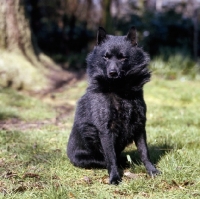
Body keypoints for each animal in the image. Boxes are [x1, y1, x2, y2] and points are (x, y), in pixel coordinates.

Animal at [67, 26, 159, 185]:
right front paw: (115, 178)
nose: (112, 73)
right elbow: (111, 158)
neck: (119, 91)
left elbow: (144, 152)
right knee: (107, 161)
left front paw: (151, 171)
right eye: (106, 57)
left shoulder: (140, 126)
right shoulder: (106, 130)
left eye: (122, 57)